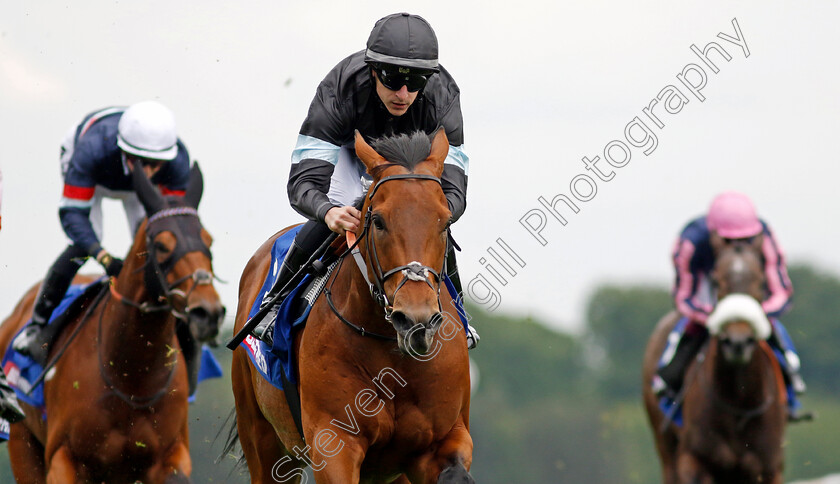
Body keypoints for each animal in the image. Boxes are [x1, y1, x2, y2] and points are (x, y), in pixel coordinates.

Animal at [0, 164, 223, 482]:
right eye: (161, 245)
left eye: (209, 241)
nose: (208, 311)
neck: (131, 376)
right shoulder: (64, 458)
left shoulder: (171, 456)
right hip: (22, 441)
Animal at [230, 130, 476, 484]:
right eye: (379, 221)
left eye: (444, 223)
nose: (415, 321)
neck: (393, 357)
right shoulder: (335, 444)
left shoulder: (441, 442)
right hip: (263, 438)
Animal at [644, 233, 788, 480]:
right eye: (717, 281)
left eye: (760, 281)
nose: (738, 341)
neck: (739, 400)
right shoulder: (693, 461)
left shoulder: (770, 468)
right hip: (666, 447)